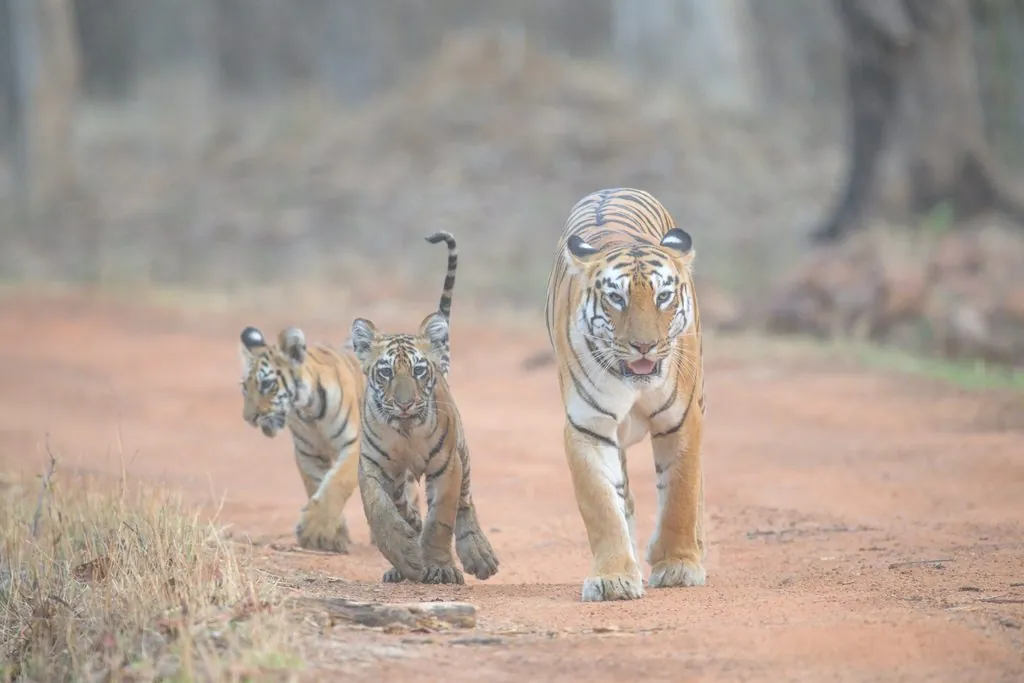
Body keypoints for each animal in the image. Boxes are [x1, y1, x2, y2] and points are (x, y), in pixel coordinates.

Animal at [238, 324, 366, 553]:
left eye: (267, 385)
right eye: (245, 387)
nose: (249, 418)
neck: (310, 411)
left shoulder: (353, 444)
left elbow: (338, 482)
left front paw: (315, 530)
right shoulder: (308, 453)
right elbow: (317, 484)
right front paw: (332, 536)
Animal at [348, 231, 500, 585]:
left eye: (418, 370)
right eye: (386, 372)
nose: (405, 403)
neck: (405, 430)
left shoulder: (447, 466)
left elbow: (440, 520)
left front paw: (440, 567)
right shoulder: (372, 467)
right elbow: (379, 512)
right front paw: (406, 557)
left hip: (463, 453)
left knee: (466, 504)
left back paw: (479, 556)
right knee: (407, 510)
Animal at [544, 187, 707, 602]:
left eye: (663, 296)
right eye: (616, 299)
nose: (644, 346)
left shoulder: (681, 419)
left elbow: (681, 493)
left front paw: (678, 565)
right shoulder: (588, 427)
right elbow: (603, 506)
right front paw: (613, 577)